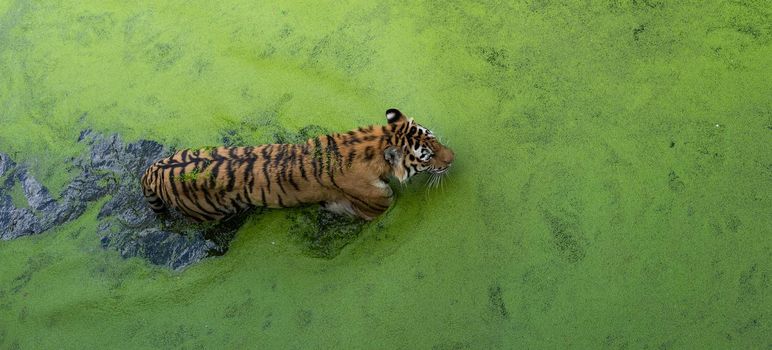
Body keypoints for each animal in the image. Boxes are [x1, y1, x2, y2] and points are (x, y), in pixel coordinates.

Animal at [140, 108, 452, 220]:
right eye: (427, 156)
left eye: (435, 139)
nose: (453, 159)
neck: (373, 144)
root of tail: (152, 171)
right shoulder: (377, 207)